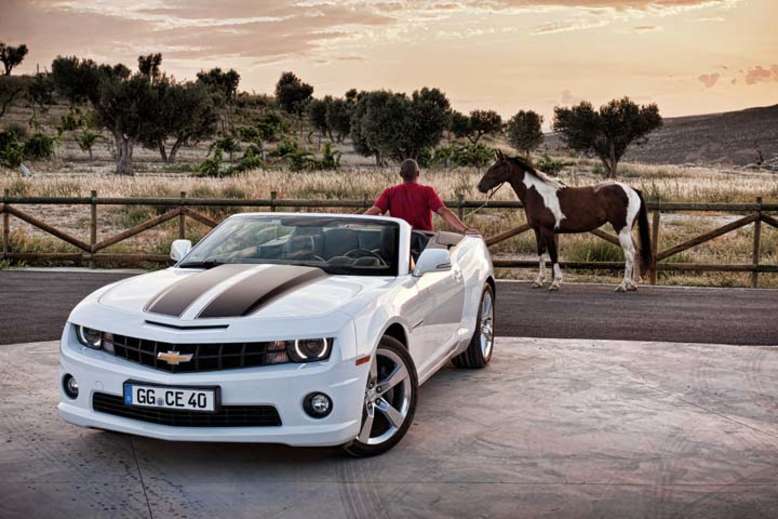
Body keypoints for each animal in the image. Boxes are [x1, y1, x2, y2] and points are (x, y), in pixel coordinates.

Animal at [478, 152, 648, 294]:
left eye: (496, 167)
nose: (480, 186)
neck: (538, 194)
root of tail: (632, 190)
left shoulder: (548, 230)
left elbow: (553, 254)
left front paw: (555, 283)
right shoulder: (538, 230)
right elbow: (541, 253)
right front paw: (539, 281)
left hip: (622, 229)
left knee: (629, 253)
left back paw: (623, 285)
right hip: (627, 231)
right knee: (635, 251)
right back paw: (632, 284)